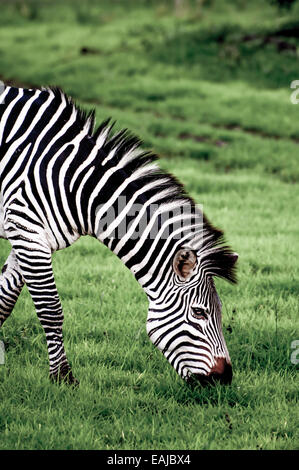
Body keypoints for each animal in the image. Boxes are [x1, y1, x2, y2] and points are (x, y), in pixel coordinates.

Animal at [0, 84, 239, 386]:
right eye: (199, 312)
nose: (225, 378)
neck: (77, 185)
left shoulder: (31, 238)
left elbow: (4, 299)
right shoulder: (26, 230)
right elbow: (50, 309)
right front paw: (63, 377)